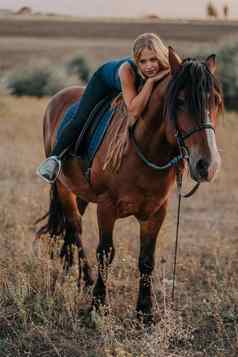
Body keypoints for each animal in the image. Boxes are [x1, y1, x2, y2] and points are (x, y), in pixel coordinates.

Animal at [36, 46, 223, 322]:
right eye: (180, 101)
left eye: (216, 101)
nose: (207, 165)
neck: (145, 150)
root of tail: (60, 95)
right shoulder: (106, 207)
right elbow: (105, 253)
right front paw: (98, 306)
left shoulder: (156, 212)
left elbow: (146, 259)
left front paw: (144, 311)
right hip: (63, 188)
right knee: (76, 228)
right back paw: (85, 278)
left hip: (81, 192)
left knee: (71, 230)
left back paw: (72, 270)